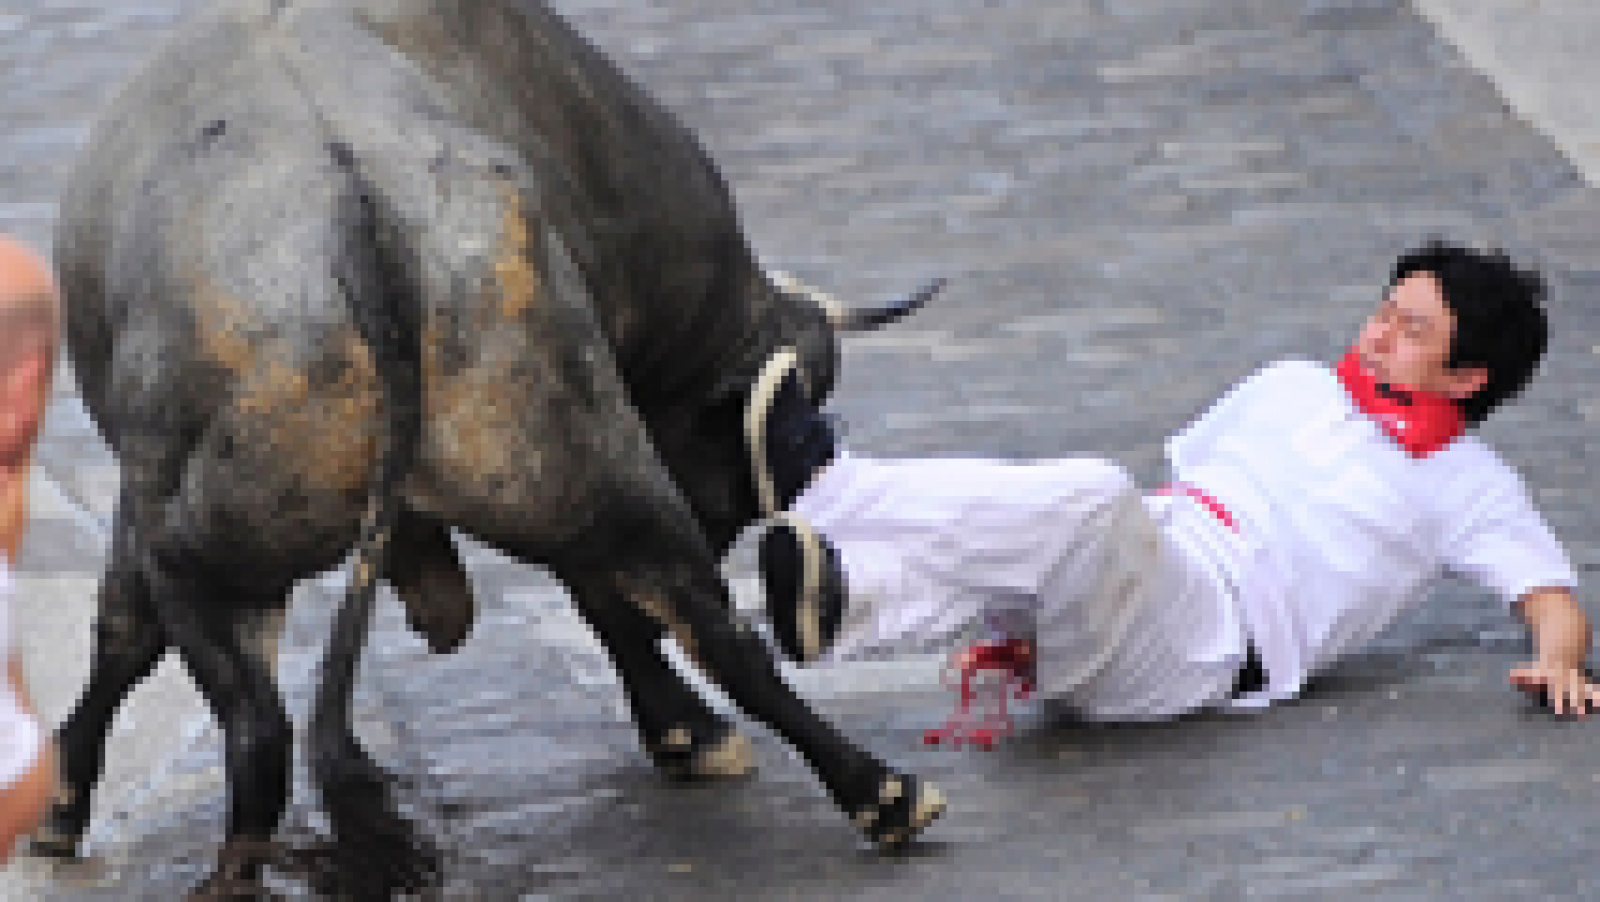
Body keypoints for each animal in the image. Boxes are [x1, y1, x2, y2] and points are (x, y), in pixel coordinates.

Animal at [37, 0, 940, 895]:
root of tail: (357, 206)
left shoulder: (143, 497)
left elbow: (122, 635)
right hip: (584, 466)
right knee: (713, 626)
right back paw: (884, 794)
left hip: (219, 551)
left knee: (257, 734)